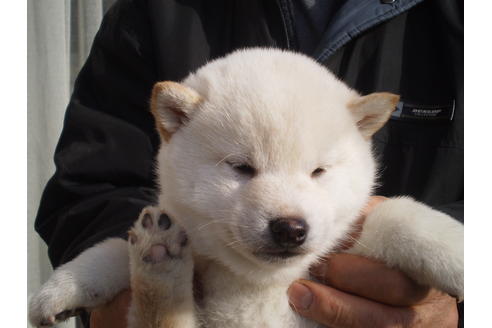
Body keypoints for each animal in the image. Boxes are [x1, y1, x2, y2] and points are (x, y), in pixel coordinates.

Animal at [28, 48, 464, 328]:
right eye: (241, 168)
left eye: (318, 171)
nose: (290, 228)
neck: (259, 282)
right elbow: (114, 249)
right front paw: (63, 287)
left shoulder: (340, 248)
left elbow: (399, 215)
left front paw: (457, 256)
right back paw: (160, 259)